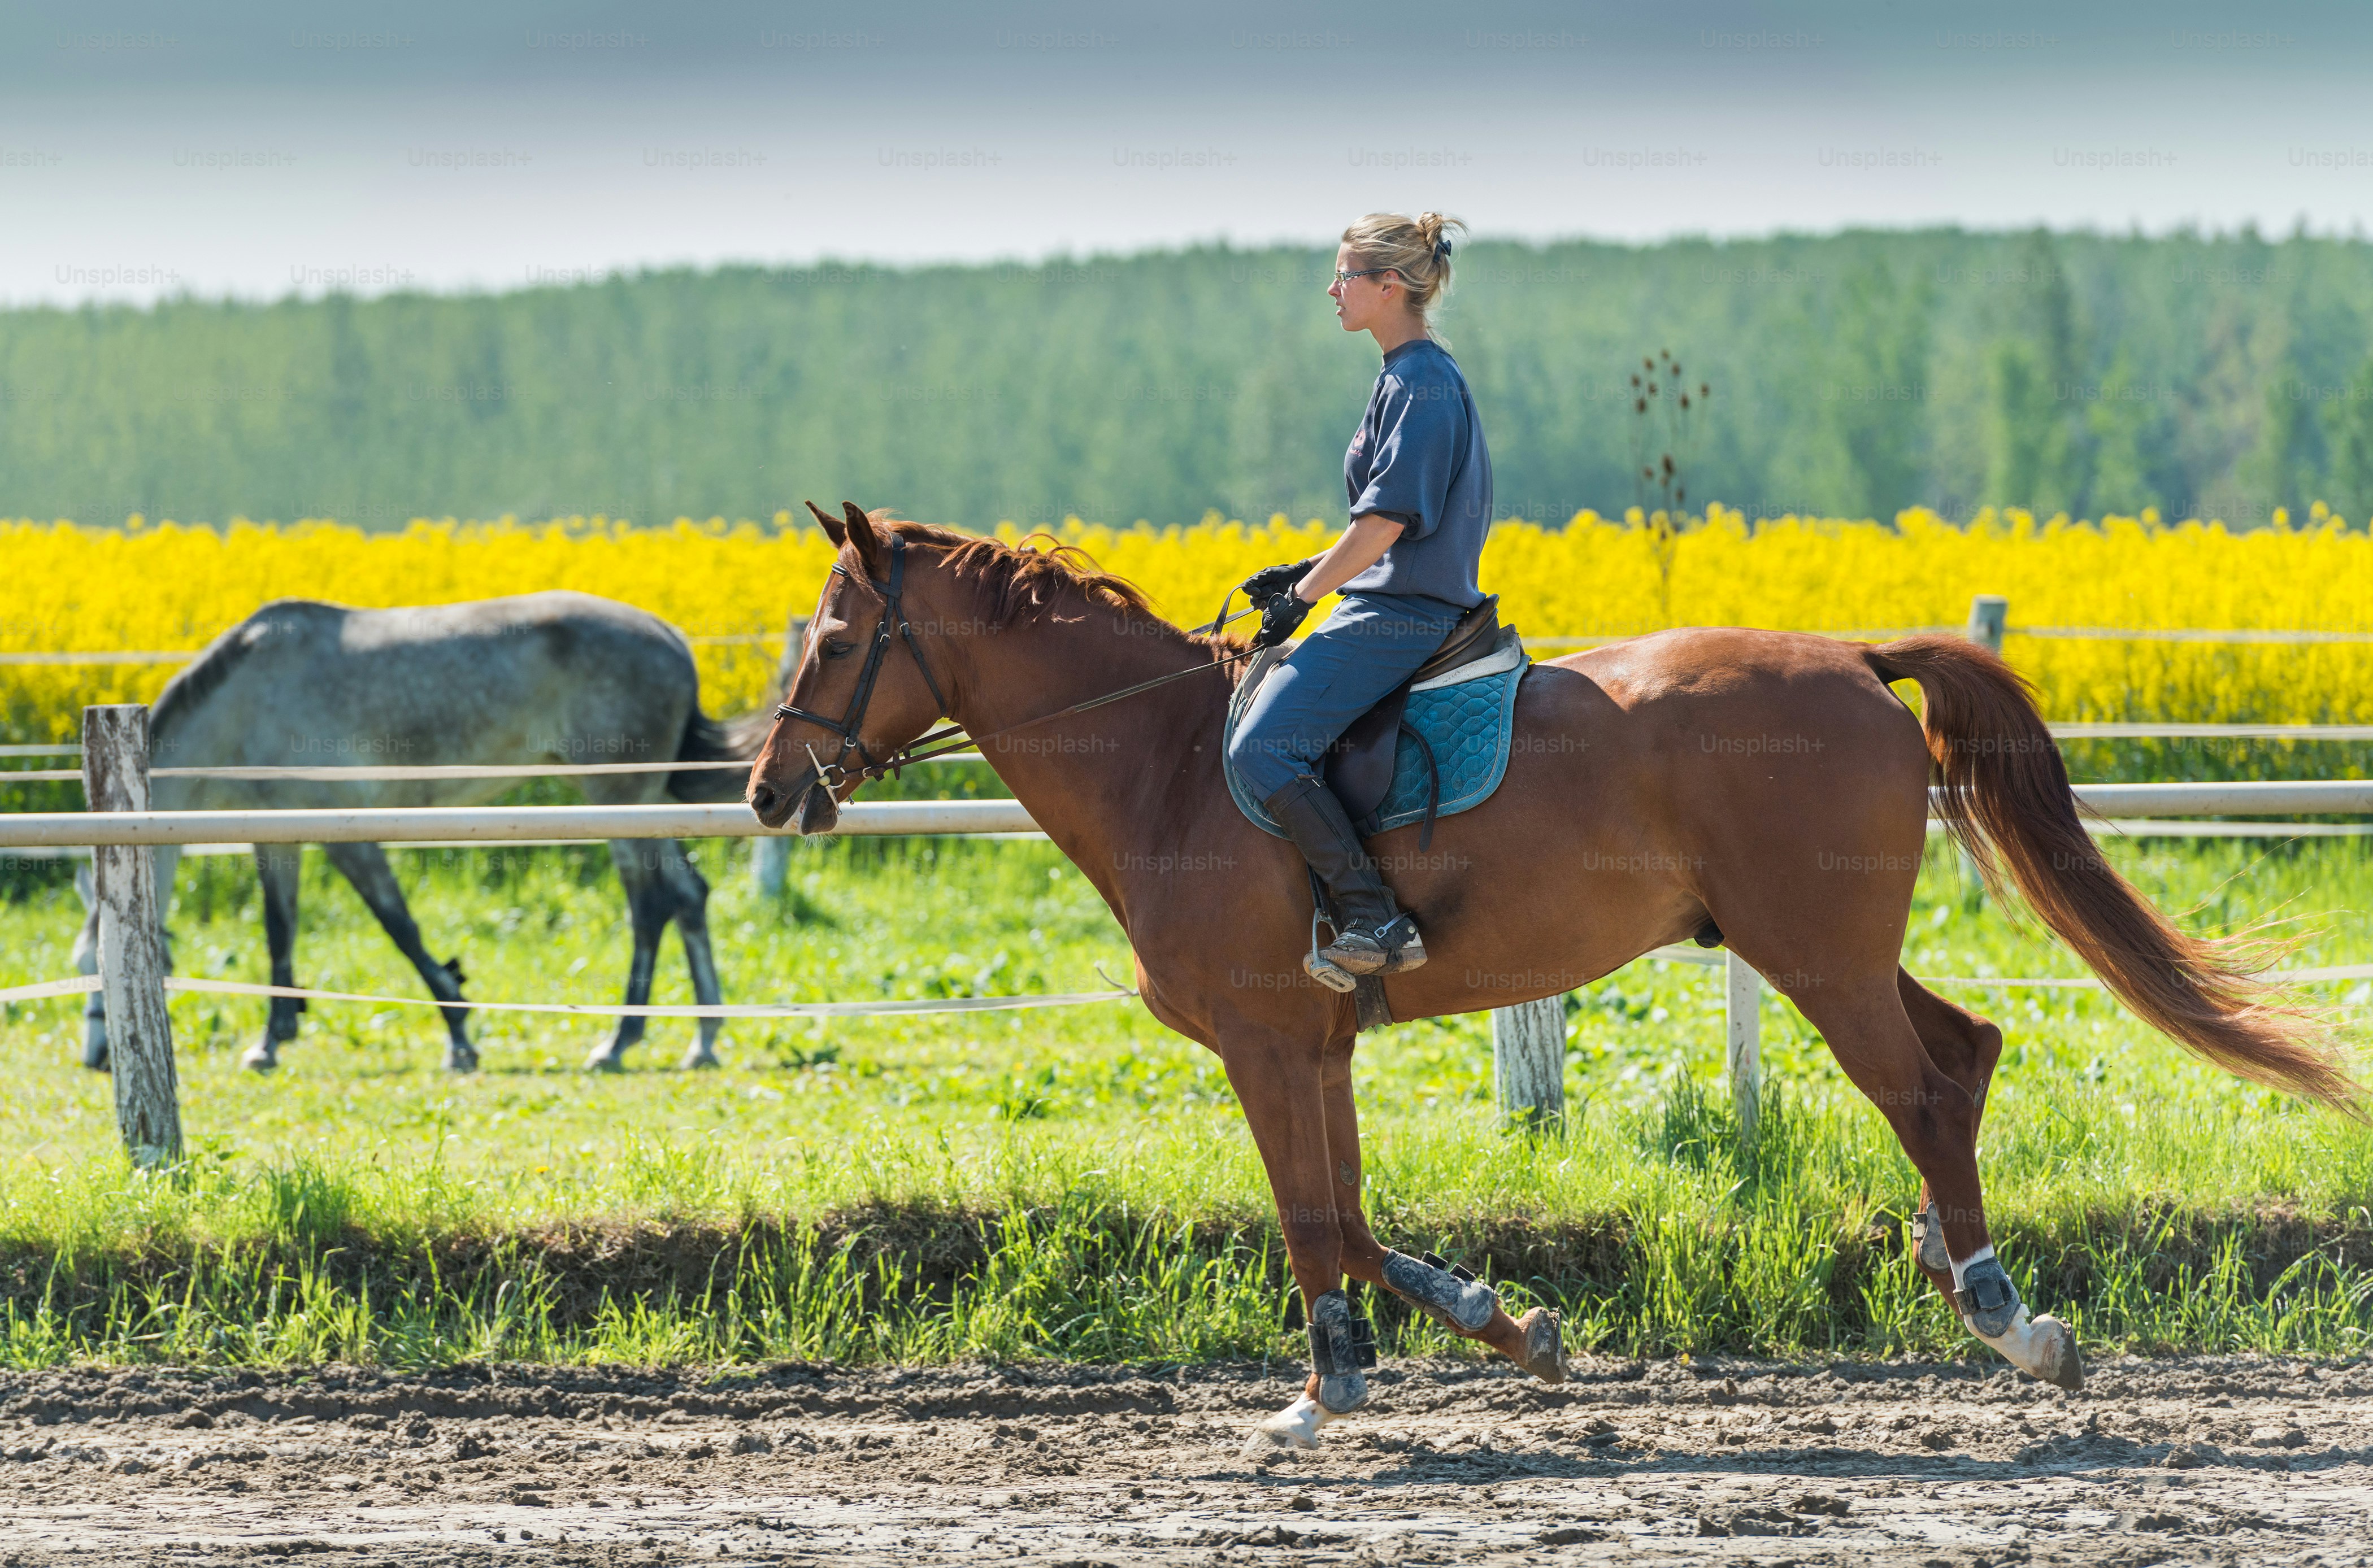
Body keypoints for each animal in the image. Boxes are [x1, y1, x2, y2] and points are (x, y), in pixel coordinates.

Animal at [73, 591, 769, 1075]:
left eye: (101, 964)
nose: (98, 1056)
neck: (246, 700)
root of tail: (671, 637)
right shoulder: (276, 839)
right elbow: (279, 935)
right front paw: (271, 1041)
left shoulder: (347, 835)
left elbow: (401, 928)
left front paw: (459, 1035)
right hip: (644, 805)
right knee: (690, 897)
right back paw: (703, 1037)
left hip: (618, 802)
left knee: (650, 908)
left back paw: (619, 1041)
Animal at [746, 502, 2354, 1450]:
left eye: (832, 634)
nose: (764, 790)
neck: (1168, 761)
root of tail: (1849, 656)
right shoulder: (1315, 1044)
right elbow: (1355, 1215)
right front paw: (1502, 1325)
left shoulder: (1264, 1042)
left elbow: (1311, 1217)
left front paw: (1323, 1393)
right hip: (1832, 950)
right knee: (1968, 1049)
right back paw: (1973, 1286)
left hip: (1816, 956)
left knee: (1924, 1086)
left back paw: (2005, 1312)